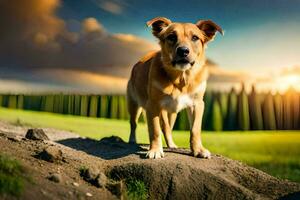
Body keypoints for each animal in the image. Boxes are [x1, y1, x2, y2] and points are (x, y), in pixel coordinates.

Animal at [126, 16, 223, 159]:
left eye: (195, 37)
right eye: (171, 37)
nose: (183, 51)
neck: (181, 79)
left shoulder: (197, 104)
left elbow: (195, 129)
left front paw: (198, 149)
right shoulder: (152, 105)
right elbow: (155, 129)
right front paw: (155, 150)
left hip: (172, 113)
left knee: (167, 128)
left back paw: (171, 144)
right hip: (134, 105)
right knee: (134, 124)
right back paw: (132, 140)